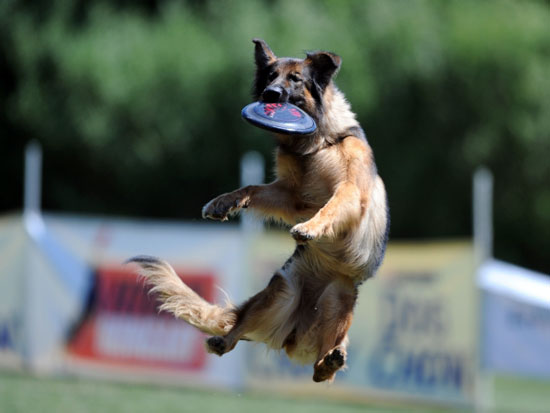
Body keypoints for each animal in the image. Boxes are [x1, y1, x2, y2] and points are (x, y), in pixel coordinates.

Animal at [128, 37, 390, 382]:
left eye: (296, 79)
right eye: (270, 76)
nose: (270, 95)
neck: (315, 144)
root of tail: (295, 338)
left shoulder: (350, 189)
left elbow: (331, 206)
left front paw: (309, 228)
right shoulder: (292, 197)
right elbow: (252, 189)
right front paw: (222, 202)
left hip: (339, 298)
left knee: (325, 366)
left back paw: (329, 361)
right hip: (280, 293)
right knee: (237, 332)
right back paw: (224, 339)